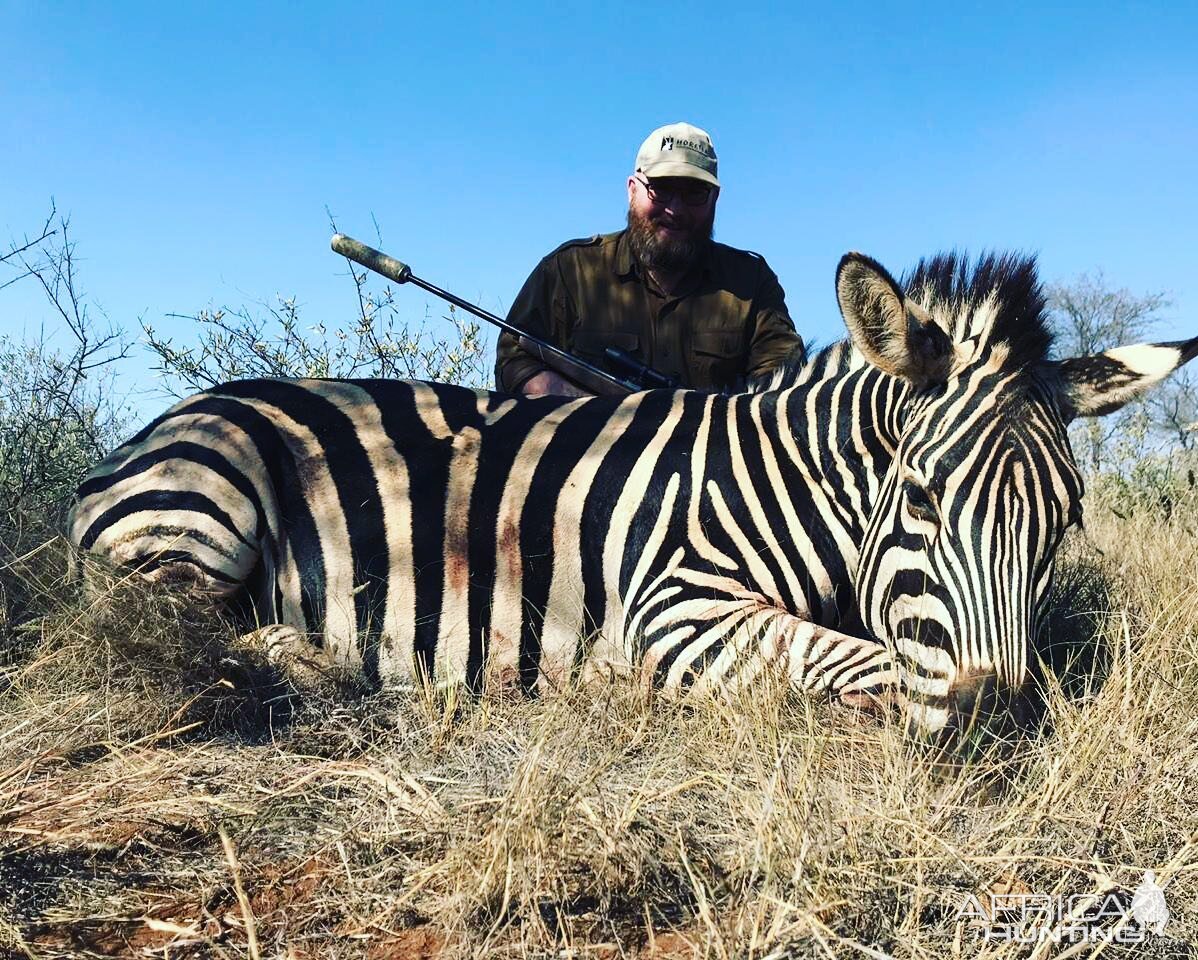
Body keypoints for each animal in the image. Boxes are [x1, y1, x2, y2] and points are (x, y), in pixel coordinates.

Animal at [67, 252, 1198, 743]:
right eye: (917, 497)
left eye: (1064, 522)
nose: (997, 723)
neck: (785, 485)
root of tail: (142, 435)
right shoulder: (673, 607)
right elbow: (859, 656)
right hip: (205, 513)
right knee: (180, 625)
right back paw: (323, 663)